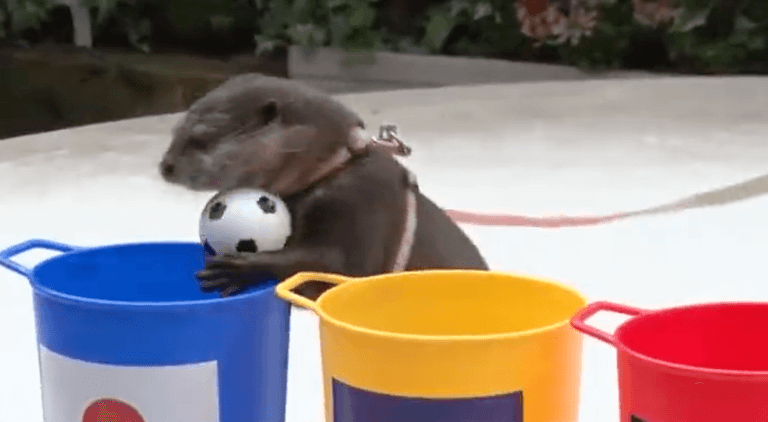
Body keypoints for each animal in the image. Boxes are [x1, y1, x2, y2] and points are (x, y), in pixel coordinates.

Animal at [159, 74, 488, 298]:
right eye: (176, 131)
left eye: (201, 138)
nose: (165, 166)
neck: (334, 167)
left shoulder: (362, 203)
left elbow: (334, 267)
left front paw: (239, 269)